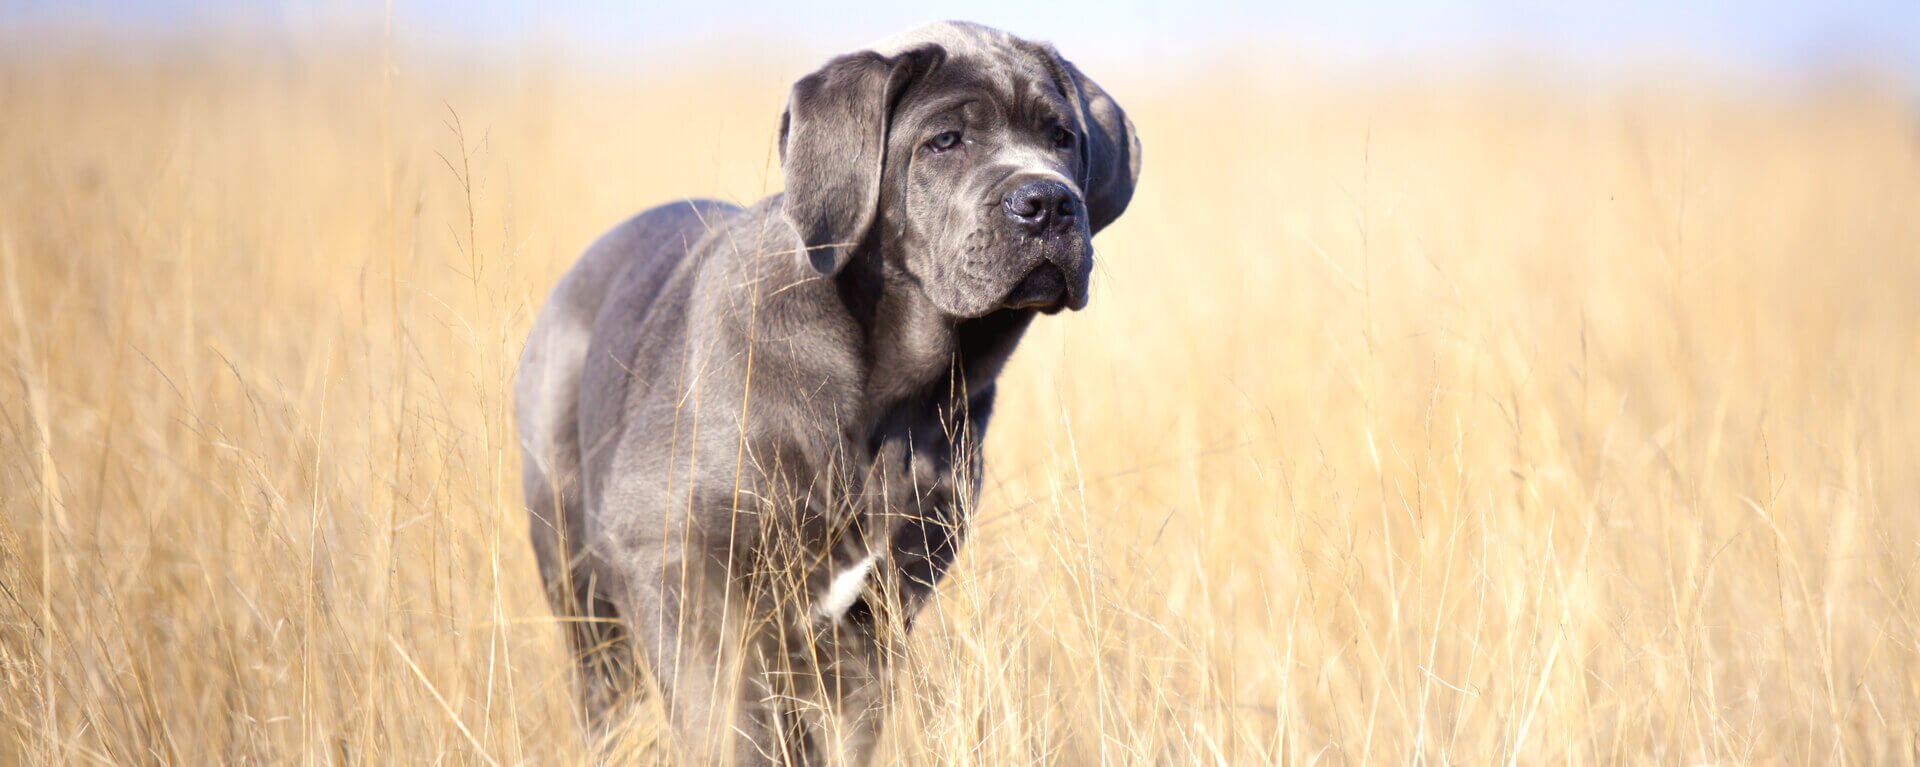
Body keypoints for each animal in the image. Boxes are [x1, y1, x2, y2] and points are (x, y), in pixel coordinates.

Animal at [514, 21, 1136, 765]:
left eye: (1062, 136)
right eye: (945, 141)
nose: (1047, 203)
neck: (888, 394)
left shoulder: (871, 622)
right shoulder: (675, 562)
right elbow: (731, 723)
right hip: (582, 590)